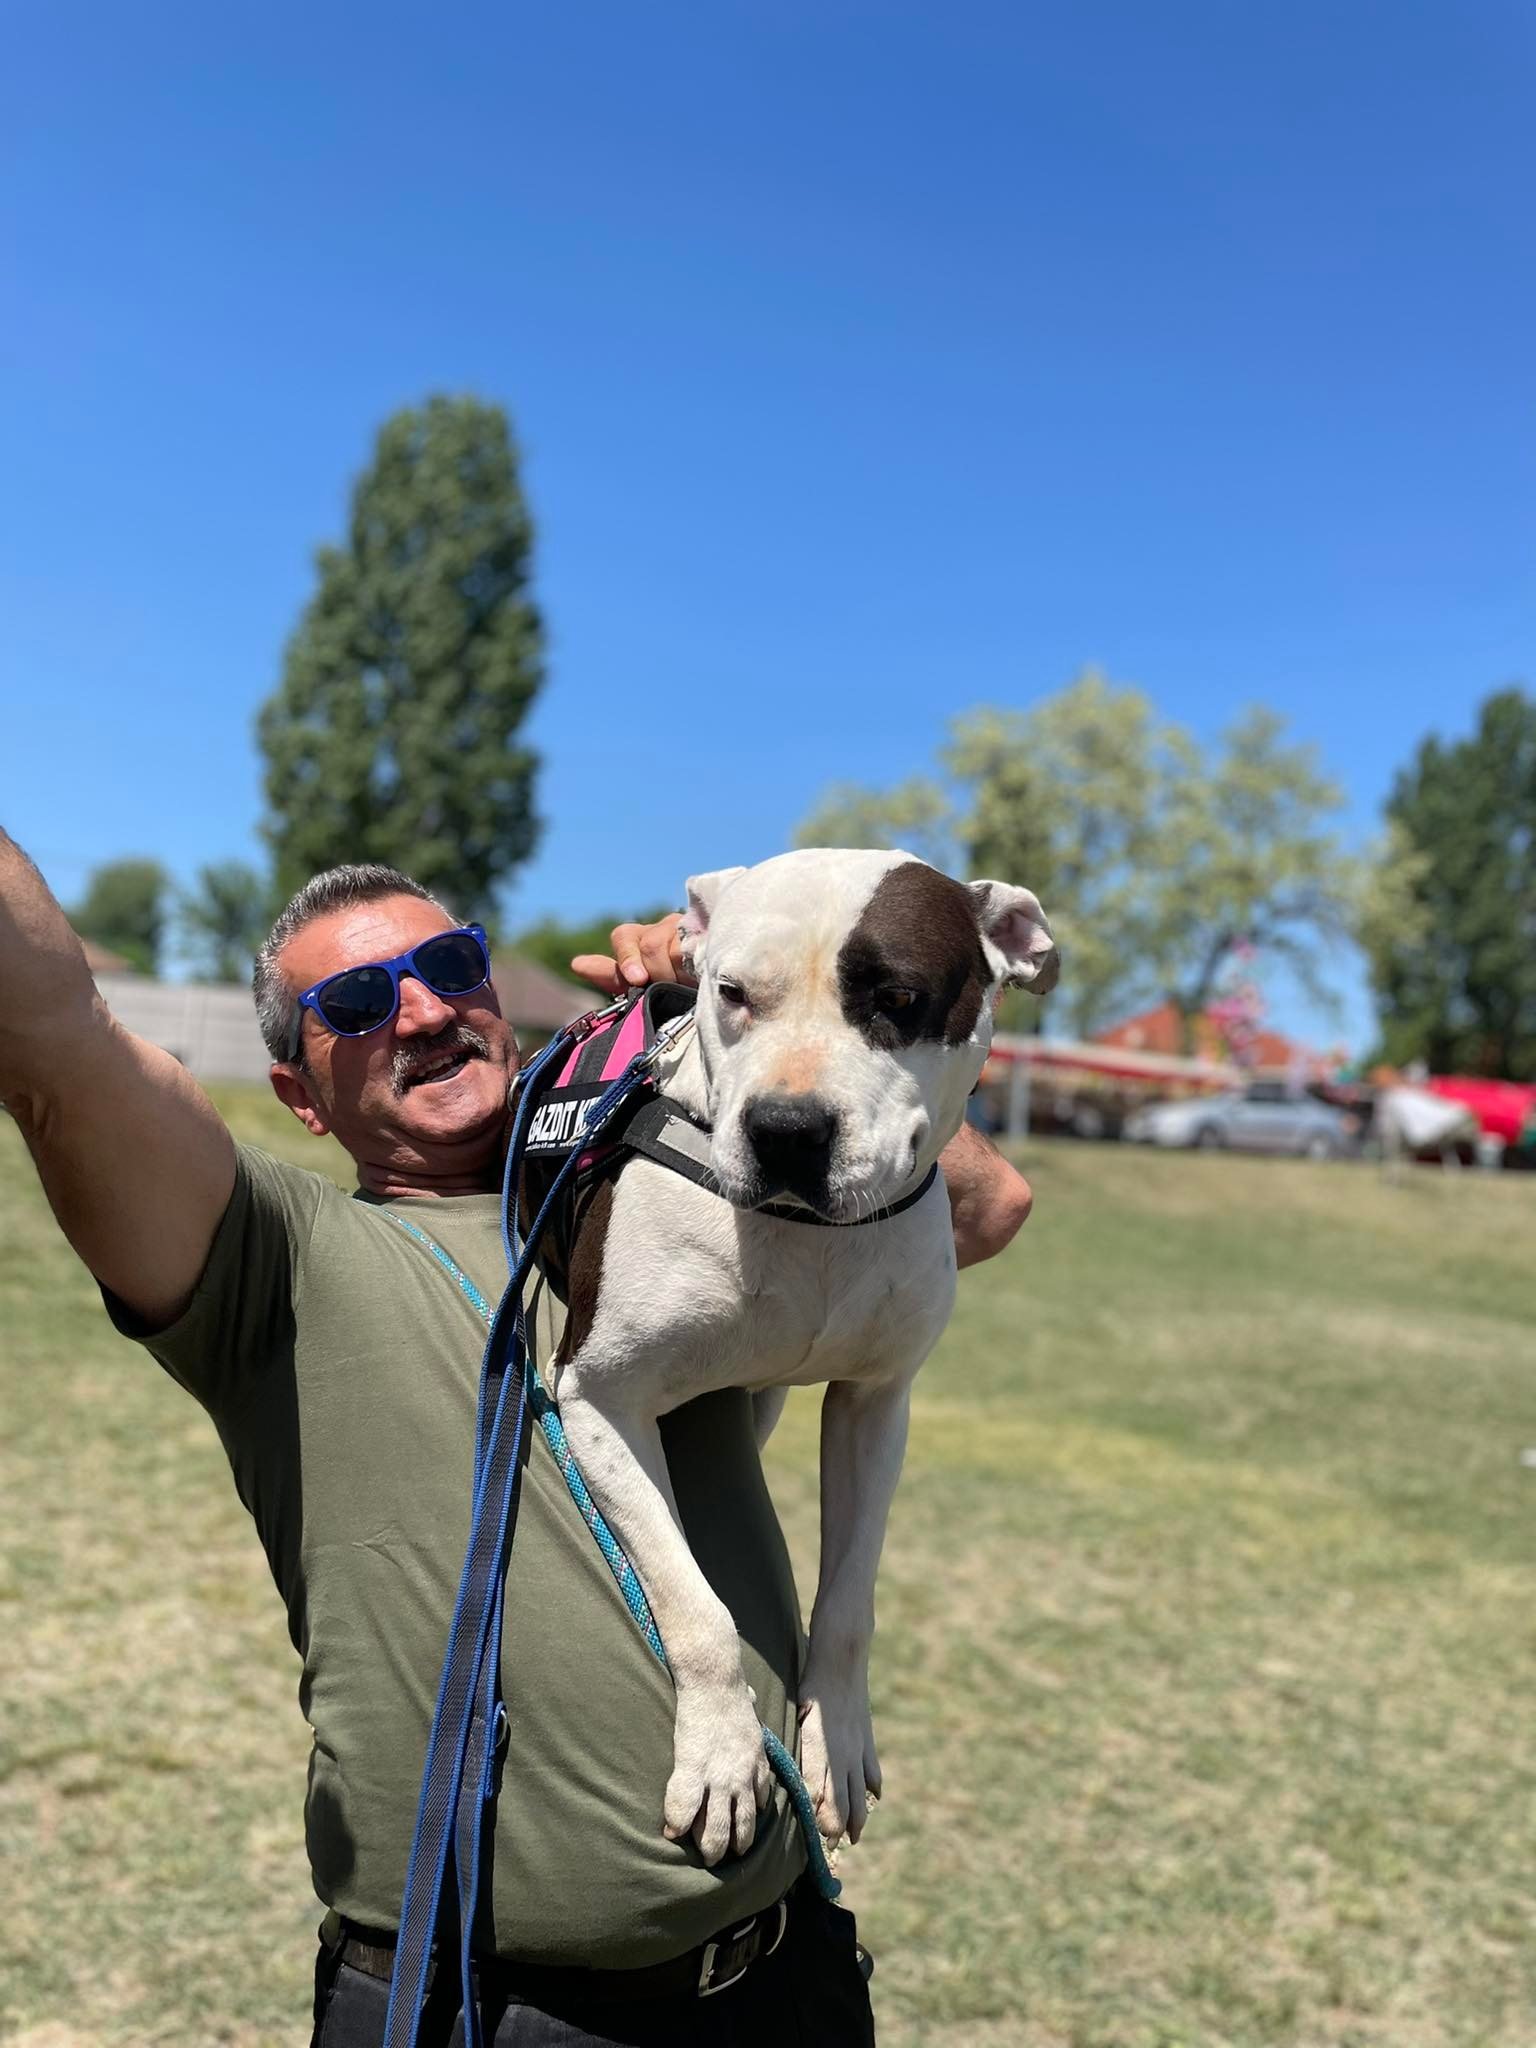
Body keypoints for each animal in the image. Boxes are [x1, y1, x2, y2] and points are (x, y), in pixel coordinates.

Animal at [550, 848, 1057, 1865]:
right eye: (733, 994)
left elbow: (852, 1602)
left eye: (899, 996)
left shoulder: (875, 1403)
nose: (785, 1130)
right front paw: (722, 1757)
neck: (804, 1236)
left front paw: (838, 1741)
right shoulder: (595, 1399)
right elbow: (695, 1604)